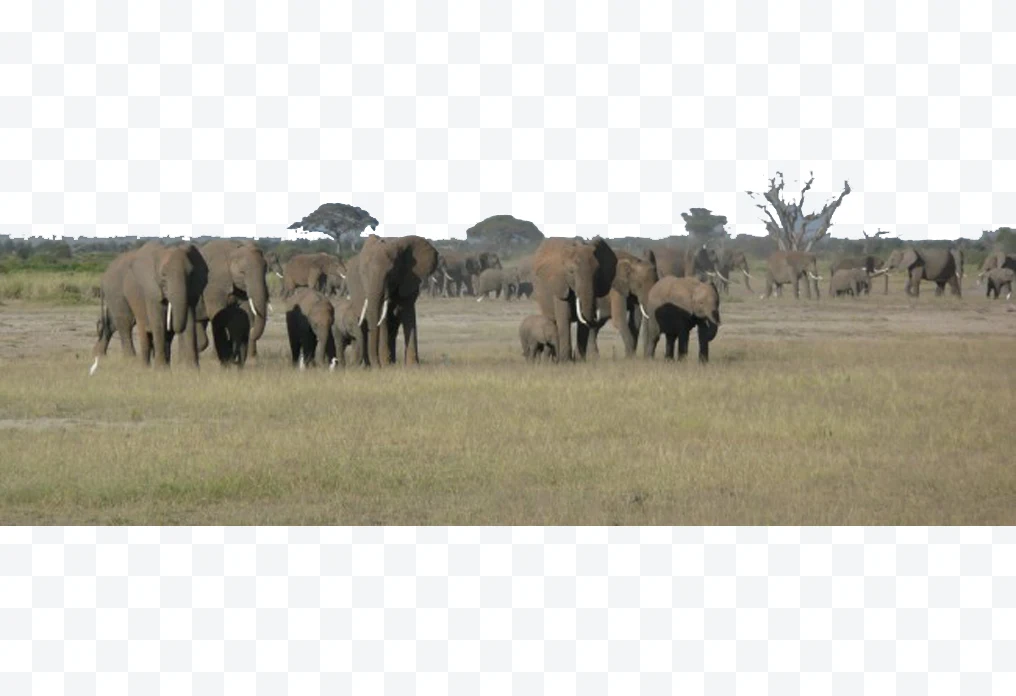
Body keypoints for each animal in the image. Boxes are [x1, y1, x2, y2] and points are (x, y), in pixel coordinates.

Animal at [346, 234, 439, 367]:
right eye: (363, 273)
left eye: (390, 273)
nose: (378, 365)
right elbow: (383, 317)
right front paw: (386, 366)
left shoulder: (409, 280)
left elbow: (408, 314)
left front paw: (413, 366)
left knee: (393, 327)